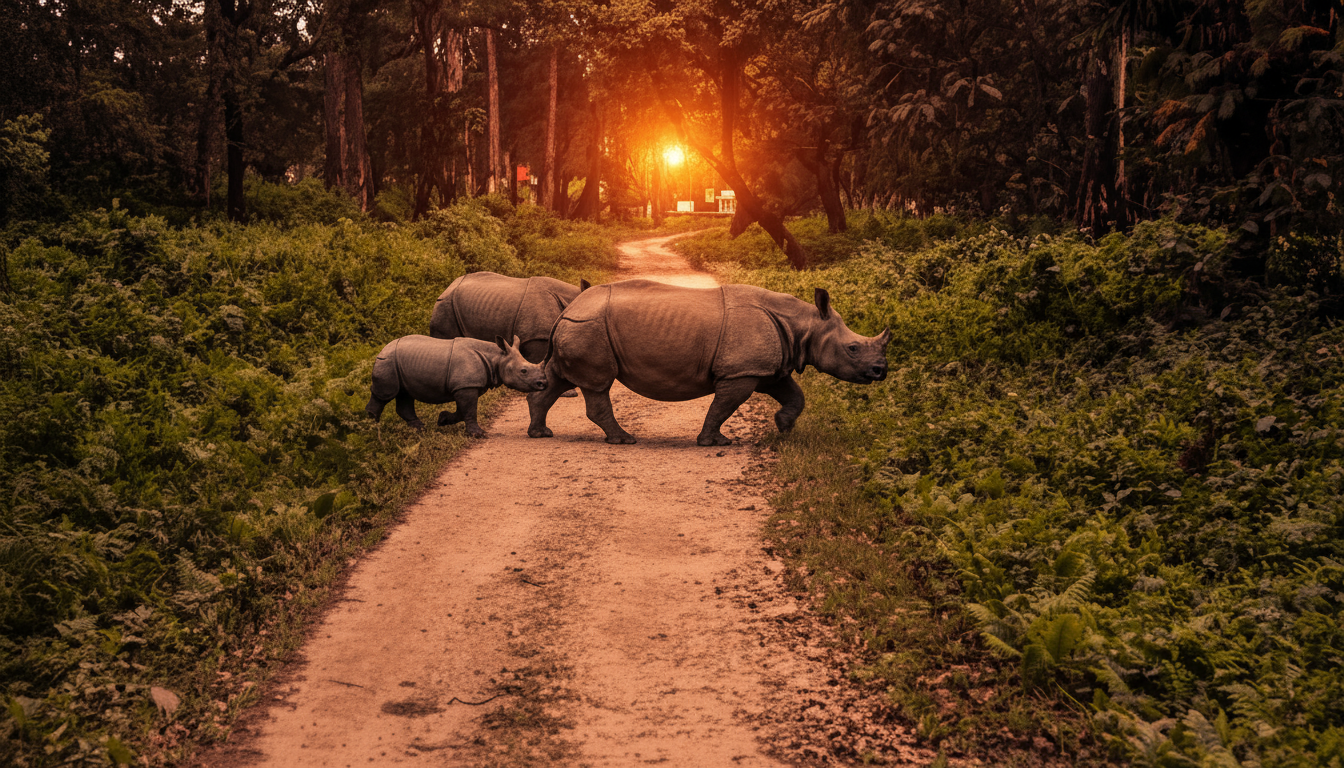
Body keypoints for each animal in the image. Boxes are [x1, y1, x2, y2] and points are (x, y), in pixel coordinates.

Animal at [366, 334, 546, 437]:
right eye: (524, 371)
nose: (543, 383)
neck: (496, 358)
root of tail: (382, 349)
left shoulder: (465, 386)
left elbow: (462, 411)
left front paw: (442, 419)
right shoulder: (466, 386)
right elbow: (470, 410)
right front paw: (478, 434)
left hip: (398, 363)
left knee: (404, 394)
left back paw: (421, 430)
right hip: (387, 361)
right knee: (385, 394)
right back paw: (372, 430)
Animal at [526, 281, 891, 445]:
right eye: (853, 348)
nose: (881, 371)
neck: (804, 325)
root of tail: (567, 308)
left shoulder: (768, 368)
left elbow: (795, 396)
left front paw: (783, 426)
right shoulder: (741, 371)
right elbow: (723, 406)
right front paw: (714, 442)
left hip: (579, 326)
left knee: (558, 377)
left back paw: (541, 433)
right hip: (589, 327)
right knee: (598, 383)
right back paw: (624, 440)